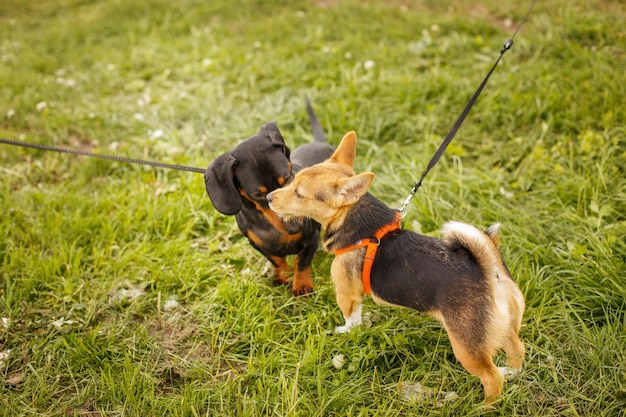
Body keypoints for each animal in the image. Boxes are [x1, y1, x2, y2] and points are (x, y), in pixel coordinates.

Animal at [266, 131, 524, 404]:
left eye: (299, 194)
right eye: (292, 181)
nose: (269, 197)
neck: (357, 225)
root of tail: (488, 271)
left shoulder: (346, 293)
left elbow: (351, 318)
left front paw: (346, 331)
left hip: (467, 346)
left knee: (491, 378)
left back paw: (484, 405)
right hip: (504, 327)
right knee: (517, 349)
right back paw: (512, 372)